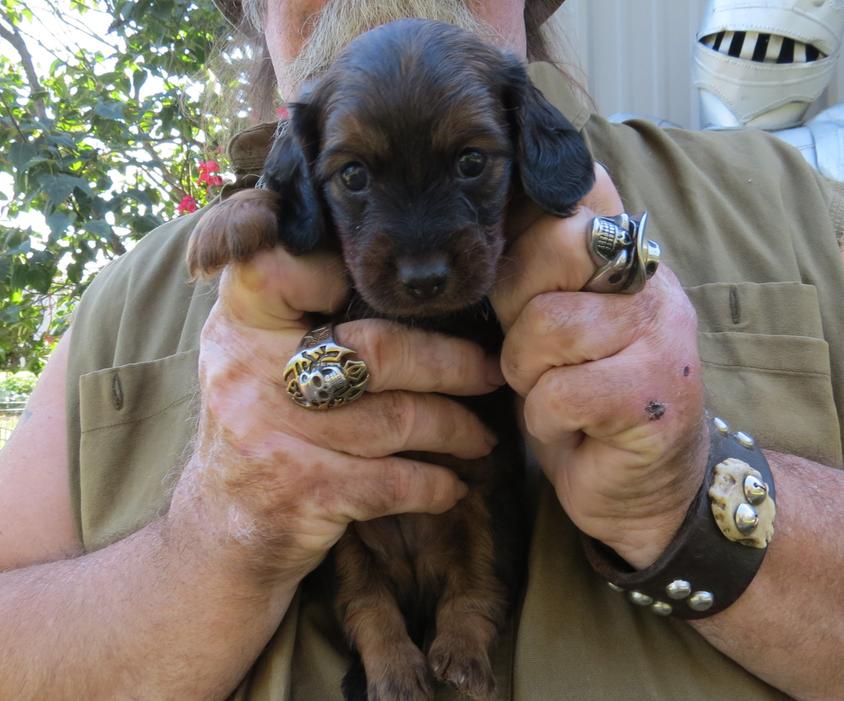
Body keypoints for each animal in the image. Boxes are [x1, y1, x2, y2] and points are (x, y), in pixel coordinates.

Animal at [188, 17, 592, 700]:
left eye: (472, 161)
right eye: (352, 175)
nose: (424, 280)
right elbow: (278, 200)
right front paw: (228, 218)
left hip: (483, 508)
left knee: (474, 588)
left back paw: (459, 655)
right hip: (344, 543)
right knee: (370, 608)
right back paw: (396, 671)